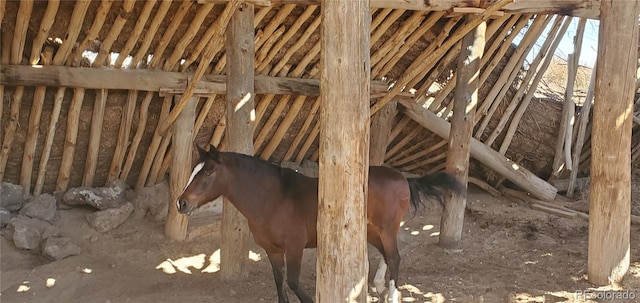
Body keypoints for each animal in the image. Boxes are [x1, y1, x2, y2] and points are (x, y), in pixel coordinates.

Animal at [178, 145, 462, 303]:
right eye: (194, 169)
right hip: (370, 231)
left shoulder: (294, 248)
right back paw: (379, 286)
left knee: (394, 257)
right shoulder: (272, 251)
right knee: (385, 255)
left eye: (208, 172)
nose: (181, 202)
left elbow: (293, 283)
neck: (273, 197)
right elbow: (280, 283)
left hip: (386, 229)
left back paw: (391, 296)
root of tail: (403, 178)